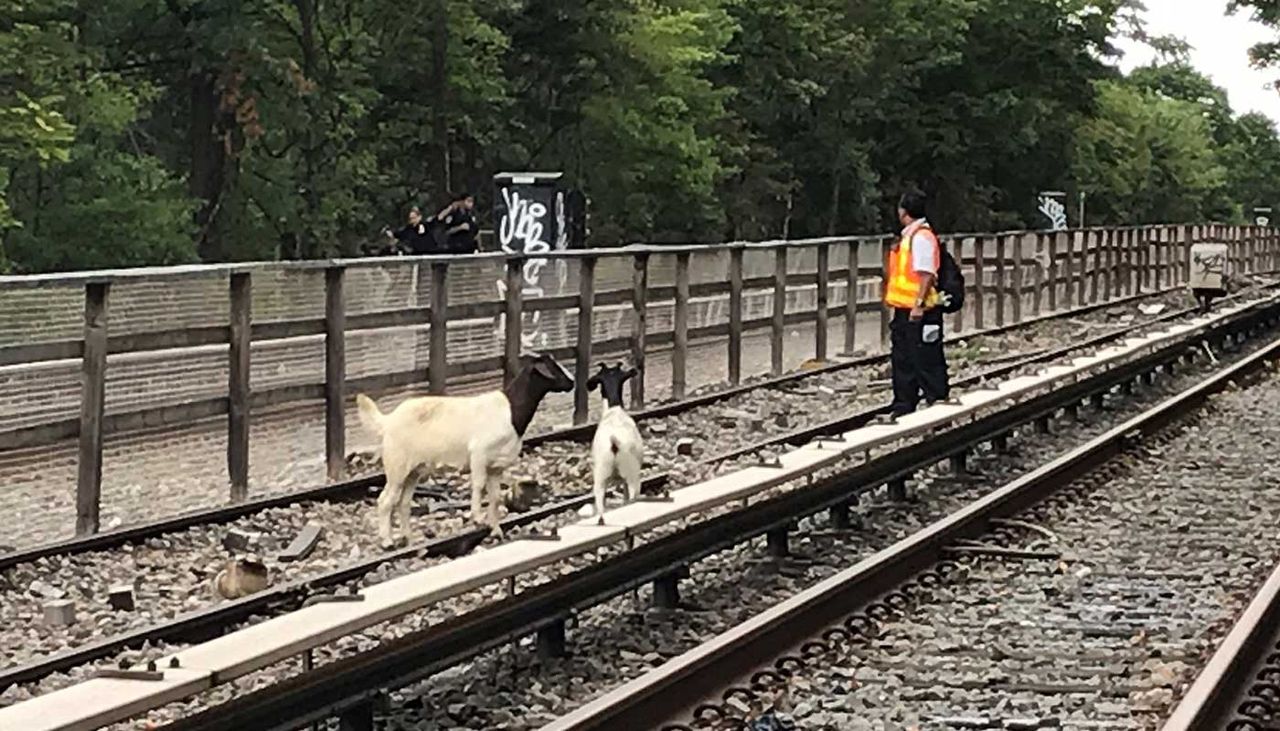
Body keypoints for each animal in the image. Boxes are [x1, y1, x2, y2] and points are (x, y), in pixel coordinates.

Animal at [350, 350, 570, 545]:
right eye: (553, 368)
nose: (572, 383)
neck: (511, 412)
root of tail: (387, 421)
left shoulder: (496, 466)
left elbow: (496, 497)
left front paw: (496, 530)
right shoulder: (479, 454)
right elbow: (479, 485)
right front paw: (477, 518)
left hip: (414, 470)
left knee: (403, 503)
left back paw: (408, 539)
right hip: (397, 466)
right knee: (385, 501)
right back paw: (387, 541)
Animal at [591, 363, 650, 522]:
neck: (614, 410)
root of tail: (614, 442)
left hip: (600, 477)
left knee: (600, 506)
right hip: (632, 476)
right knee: (632, 498)